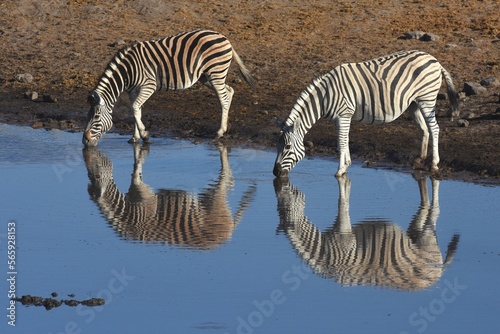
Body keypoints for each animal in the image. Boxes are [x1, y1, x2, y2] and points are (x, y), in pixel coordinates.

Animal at [82, 142, 256, 249]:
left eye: (96, 175)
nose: (87, 145)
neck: (127, 213)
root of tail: (228, 233)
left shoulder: (144, 194)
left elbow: (136, 172)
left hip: (216, 201)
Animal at [83, 29, 254, 147]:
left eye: (96, 117)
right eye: (87, 115)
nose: (85, 141)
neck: (128, 72)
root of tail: (224, 38)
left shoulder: (148, 85)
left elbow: (135, 108)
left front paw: (144, 135)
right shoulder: (133, 91)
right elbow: (136, 110)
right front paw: (135, 137)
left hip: (215, 72)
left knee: (223, 98)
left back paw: (219, 132)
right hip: (206, 76)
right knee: (229, 91)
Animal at [276, 49, 458, 177]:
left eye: (287, 147)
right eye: (277, 146)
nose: (275, 173)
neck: (324, 97)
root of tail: (435, 61)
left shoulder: (344, 114)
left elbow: (341, 141)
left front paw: (340, 170)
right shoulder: (341, 118)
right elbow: (343, 141)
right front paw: (346, 165)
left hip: (427, 99)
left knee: (434, 128)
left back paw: (434, 164)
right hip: (413, 103)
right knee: (424, 129)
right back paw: (419, 159)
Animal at [276, 176, 458, 290]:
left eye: (286, 205)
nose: (280, 179)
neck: (324, 251)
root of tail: (439, 271)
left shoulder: (344, 235)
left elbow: (342, 205)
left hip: (426, 241)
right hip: (414, 235)